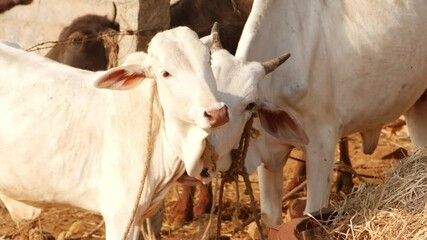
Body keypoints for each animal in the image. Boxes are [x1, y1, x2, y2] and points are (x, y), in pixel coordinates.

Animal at [236, 0, 427, 226]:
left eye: (247, 106)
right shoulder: (267, 154)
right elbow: (270, 219)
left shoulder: (322, 143)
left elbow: (312, 213)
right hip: (417, 103)